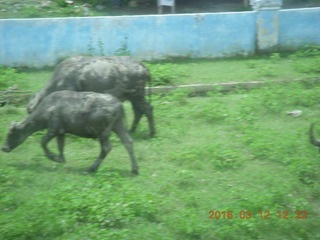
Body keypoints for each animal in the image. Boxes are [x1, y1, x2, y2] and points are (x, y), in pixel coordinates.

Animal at [1, 90, 139, 174]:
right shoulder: (61, 132)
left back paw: (91, 168)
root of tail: (118, 104)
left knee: (106, 148)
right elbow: (60, 145)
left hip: (103, 132)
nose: (4, 148)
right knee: (128, 142)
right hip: (118, 126)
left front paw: (53, 157)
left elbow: (43, 142)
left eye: (11, 134)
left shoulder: (53, 129)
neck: (49, 108)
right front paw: (61, 158)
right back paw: (134, 169)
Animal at [27, 55, 155, 136]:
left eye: (31, 111)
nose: (35, 129)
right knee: (138, 111)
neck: (60, 79)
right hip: (133, 97)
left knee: (147, 109)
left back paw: (151, 133)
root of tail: (142, 65)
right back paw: (131, 131)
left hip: (137, 95)